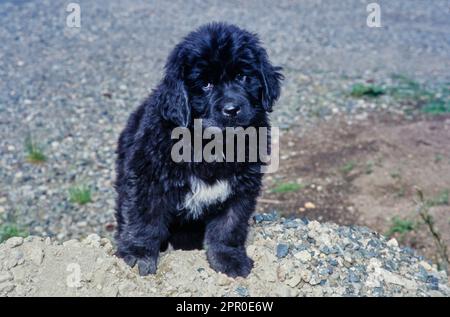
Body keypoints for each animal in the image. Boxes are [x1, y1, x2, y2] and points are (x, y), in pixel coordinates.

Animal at [114, 22, 284, 276]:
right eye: (205, 85)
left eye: (243, 76)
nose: (232, 109)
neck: (212, 143)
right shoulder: (147, 176)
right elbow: (144, 217)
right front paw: (138, 253)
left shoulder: (242, 185)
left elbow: (229, 225)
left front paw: (228, 258)